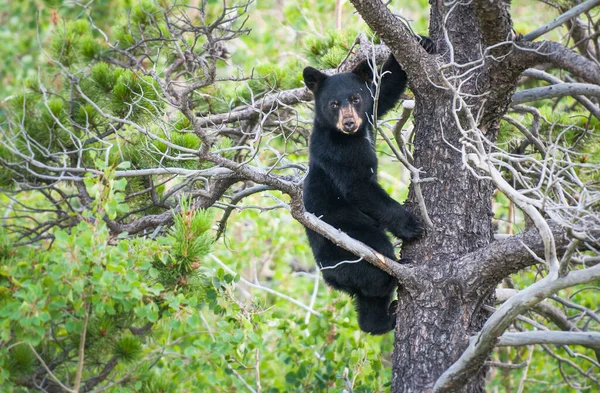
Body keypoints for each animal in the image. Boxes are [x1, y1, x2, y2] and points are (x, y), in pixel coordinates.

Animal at [302, 36, 434, 334]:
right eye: (333, 104)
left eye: (355, 98)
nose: (350, 122)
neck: (349, 136)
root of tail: (332, 279)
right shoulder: (338, 151)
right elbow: (359, 187)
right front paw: (410, 224)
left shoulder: (368, 118)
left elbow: (383, 92)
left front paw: (420, 44)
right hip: (349, 234)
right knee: (374, 264)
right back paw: (395, 269)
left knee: (368, 302)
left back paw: (382, 320)